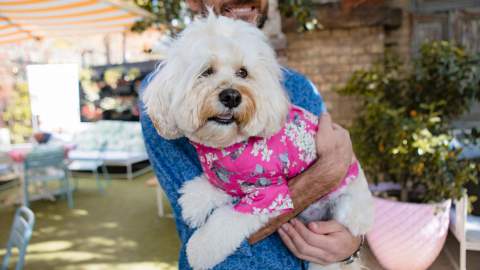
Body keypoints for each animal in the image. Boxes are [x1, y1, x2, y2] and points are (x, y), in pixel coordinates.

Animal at [142, 13, 376, 270]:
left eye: (243, 73)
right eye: (206, 71)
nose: (231, 96)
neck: (229, 147)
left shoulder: (272, 194)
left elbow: (227, 219)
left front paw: (199, 249)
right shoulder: (232, 177)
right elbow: (220, 186)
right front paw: (196, 199)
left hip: (348, 209)